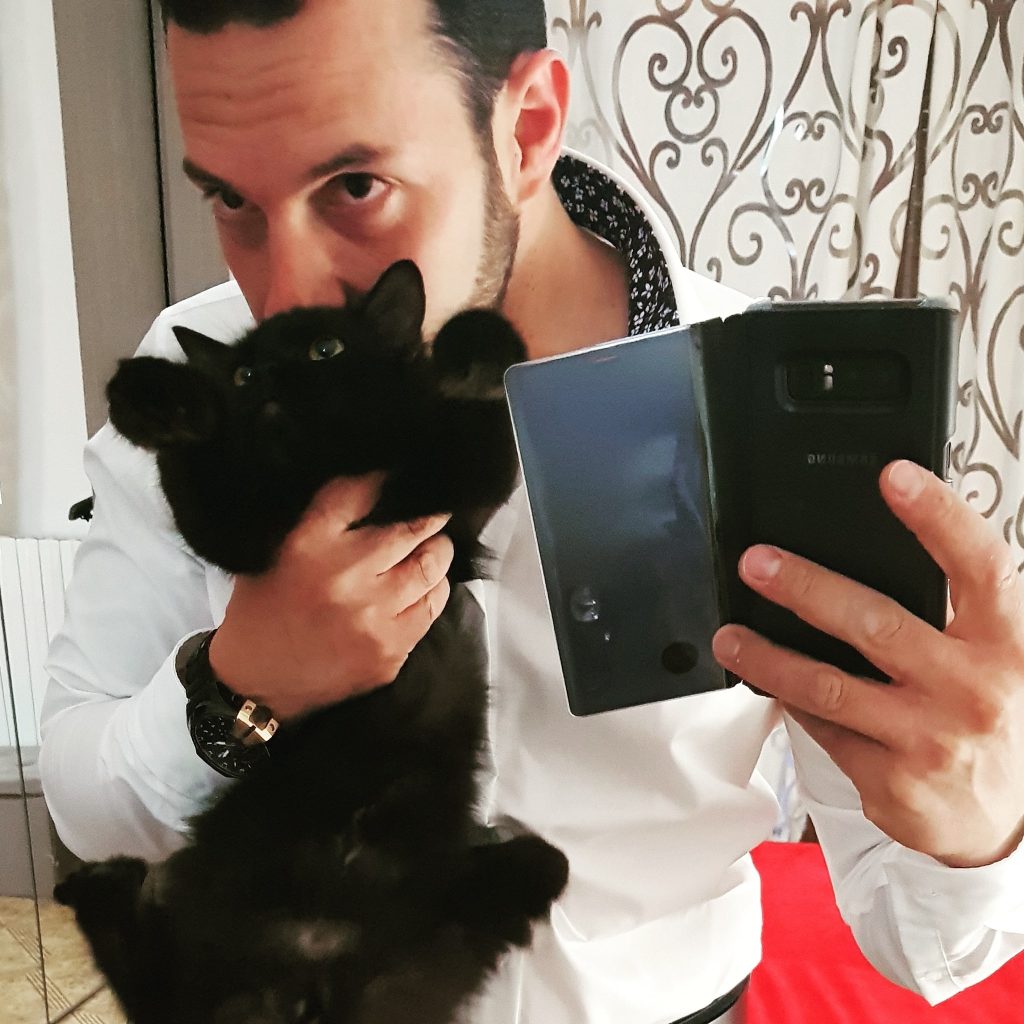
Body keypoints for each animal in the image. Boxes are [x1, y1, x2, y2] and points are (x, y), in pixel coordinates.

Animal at [54, 260, 569, 1024]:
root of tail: (310, 976)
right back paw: (98, 884)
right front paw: (158, 400)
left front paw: (471, 350)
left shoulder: (460, 497)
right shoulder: (239, 531)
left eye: (325, 350)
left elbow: (475, 432)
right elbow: (196, 473)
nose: (266, 381)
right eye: (242, 375)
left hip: (447, 930)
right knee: (151, 986)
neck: (320, 470)